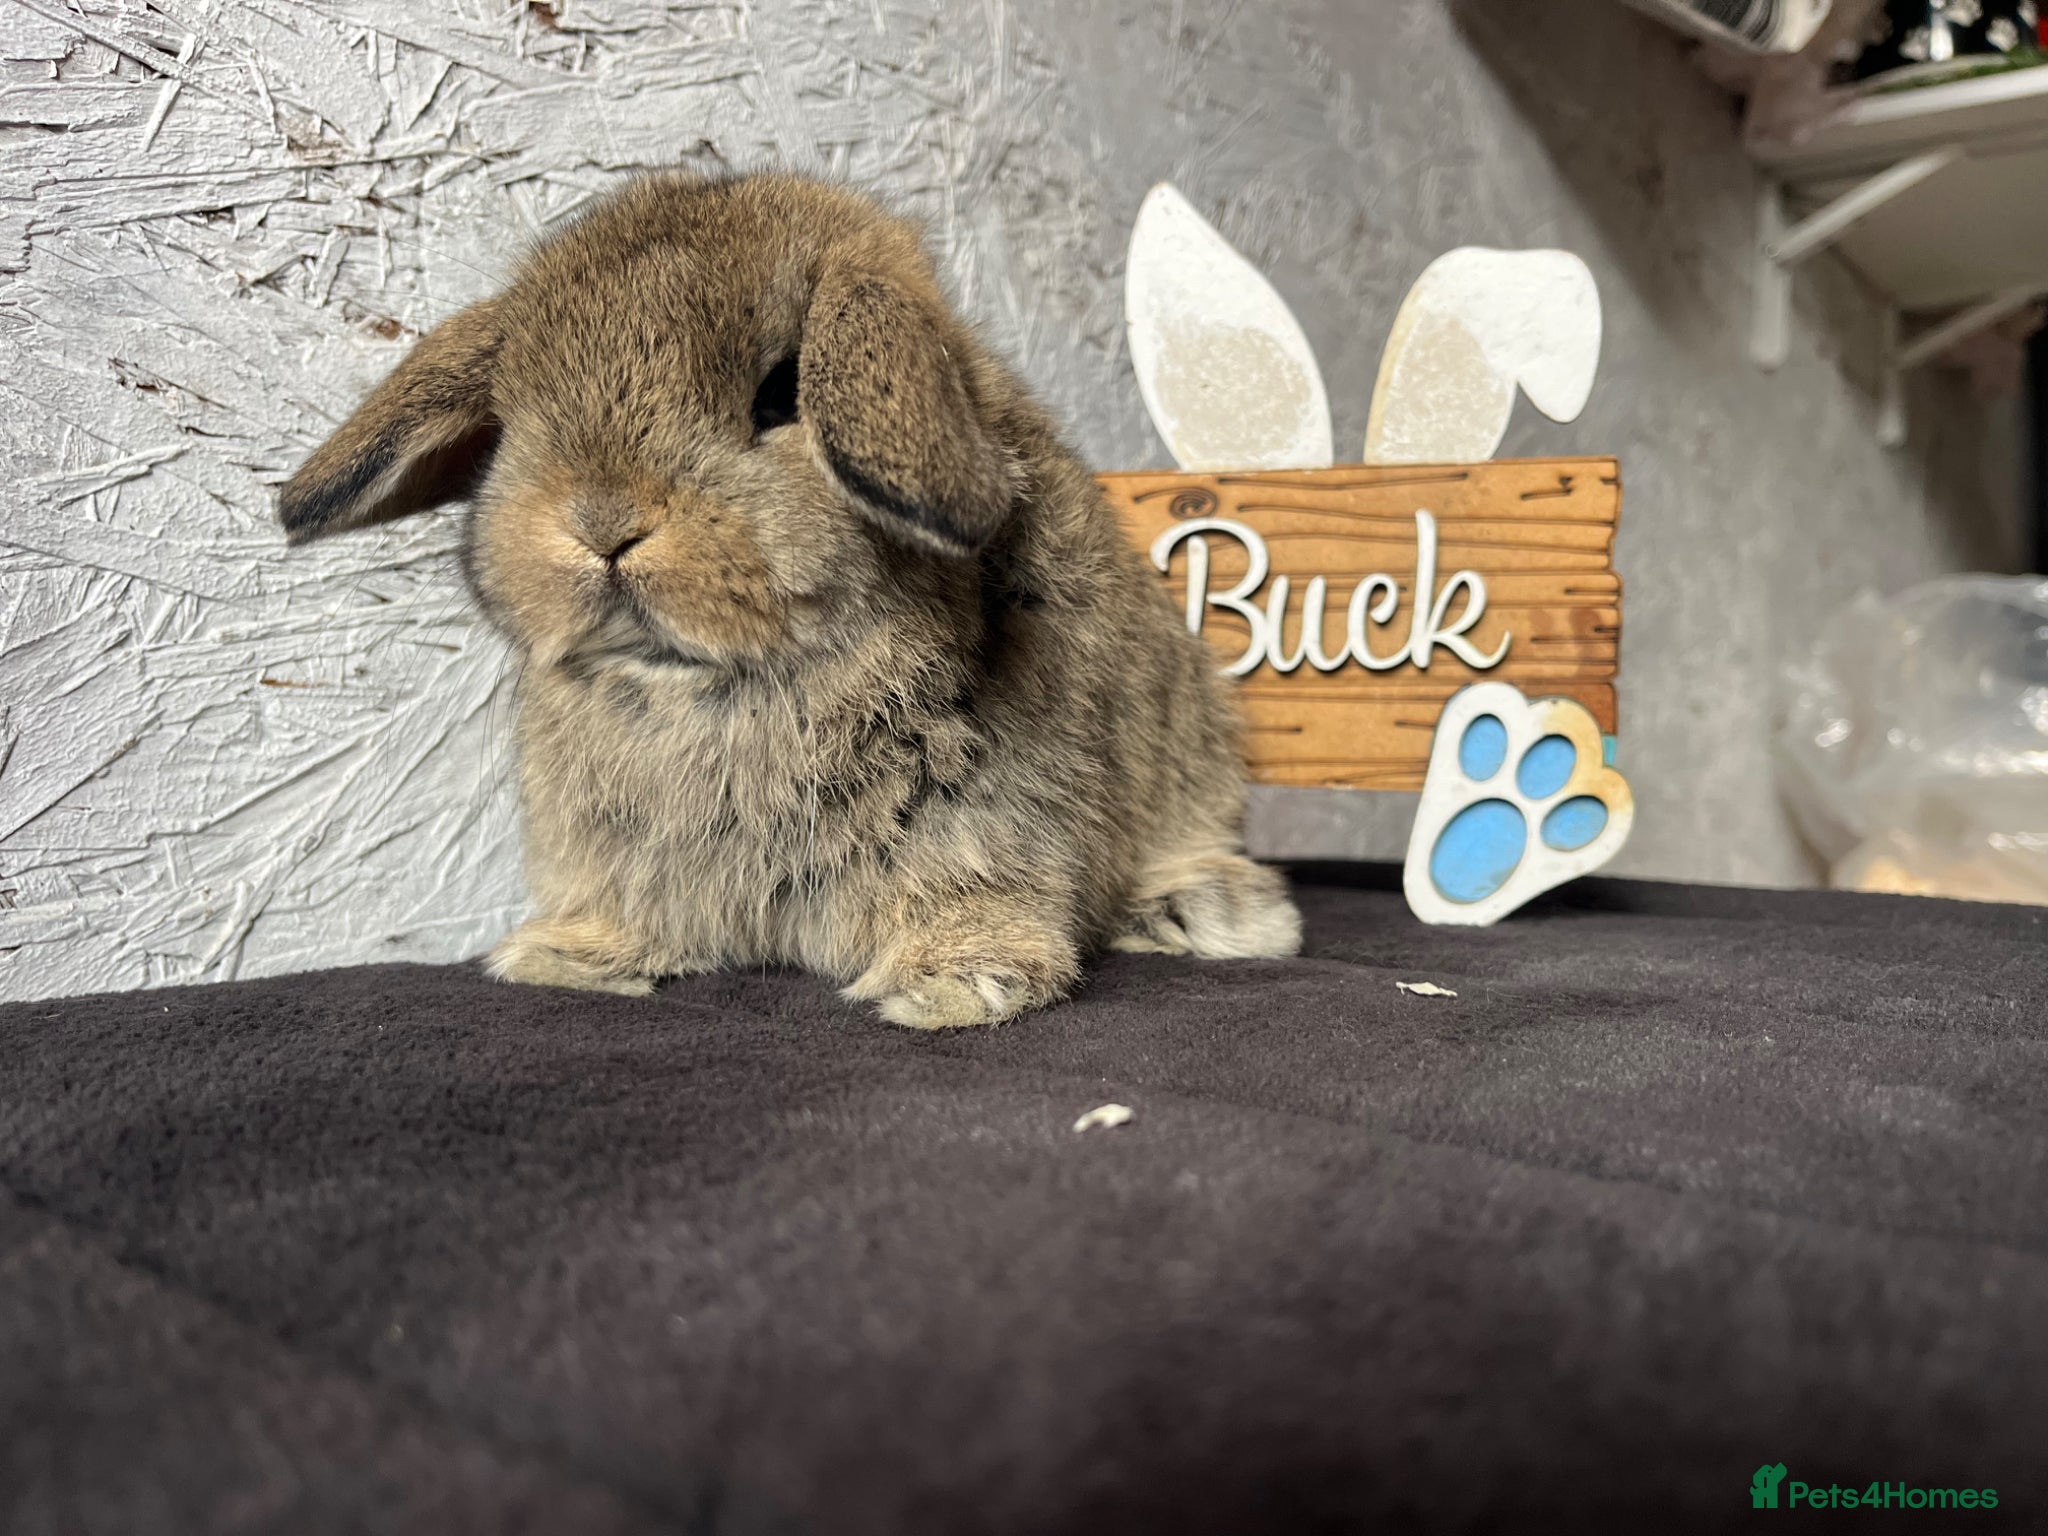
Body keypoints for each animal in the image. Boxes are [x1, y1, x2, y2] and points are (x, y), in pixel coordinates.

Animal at [278, 172, 1301, 1028]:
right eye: (510, 421)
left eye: (779, 395)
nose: (601, 521)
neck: (714, 687)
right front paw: (569, 956)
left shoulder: (991, 804)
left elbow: (976, 884)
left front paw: (953, 985)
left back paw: (1215, 910)